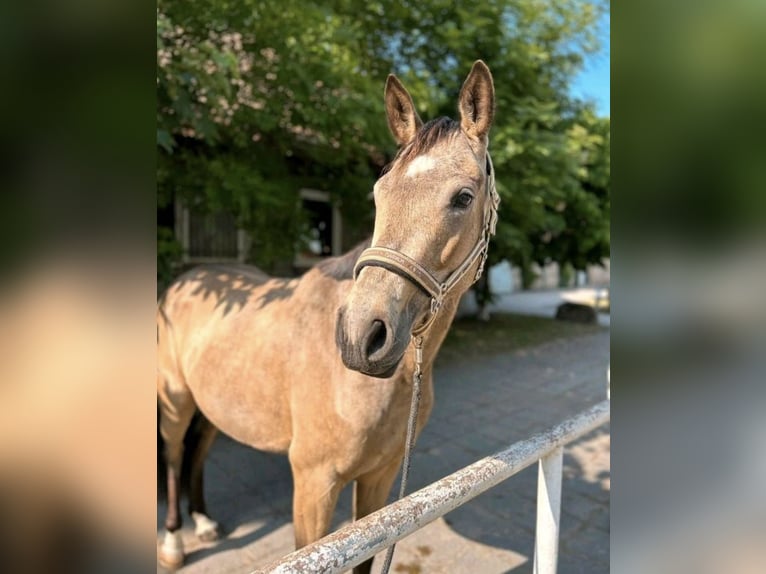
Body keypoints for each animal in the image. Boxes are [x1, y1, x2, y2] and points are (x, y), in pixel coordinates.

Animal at [159, 60, 500, 572]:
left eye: (463, 197)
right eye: (379, 193)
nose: (361, 336)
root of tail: (187, 281)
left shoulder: (380, 478)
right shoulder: (314, 486)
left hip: (213, 405)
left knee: (197, 454)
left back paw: (203, 522)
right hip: (175, 402)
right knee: (176, 457)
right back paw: (174, 542)